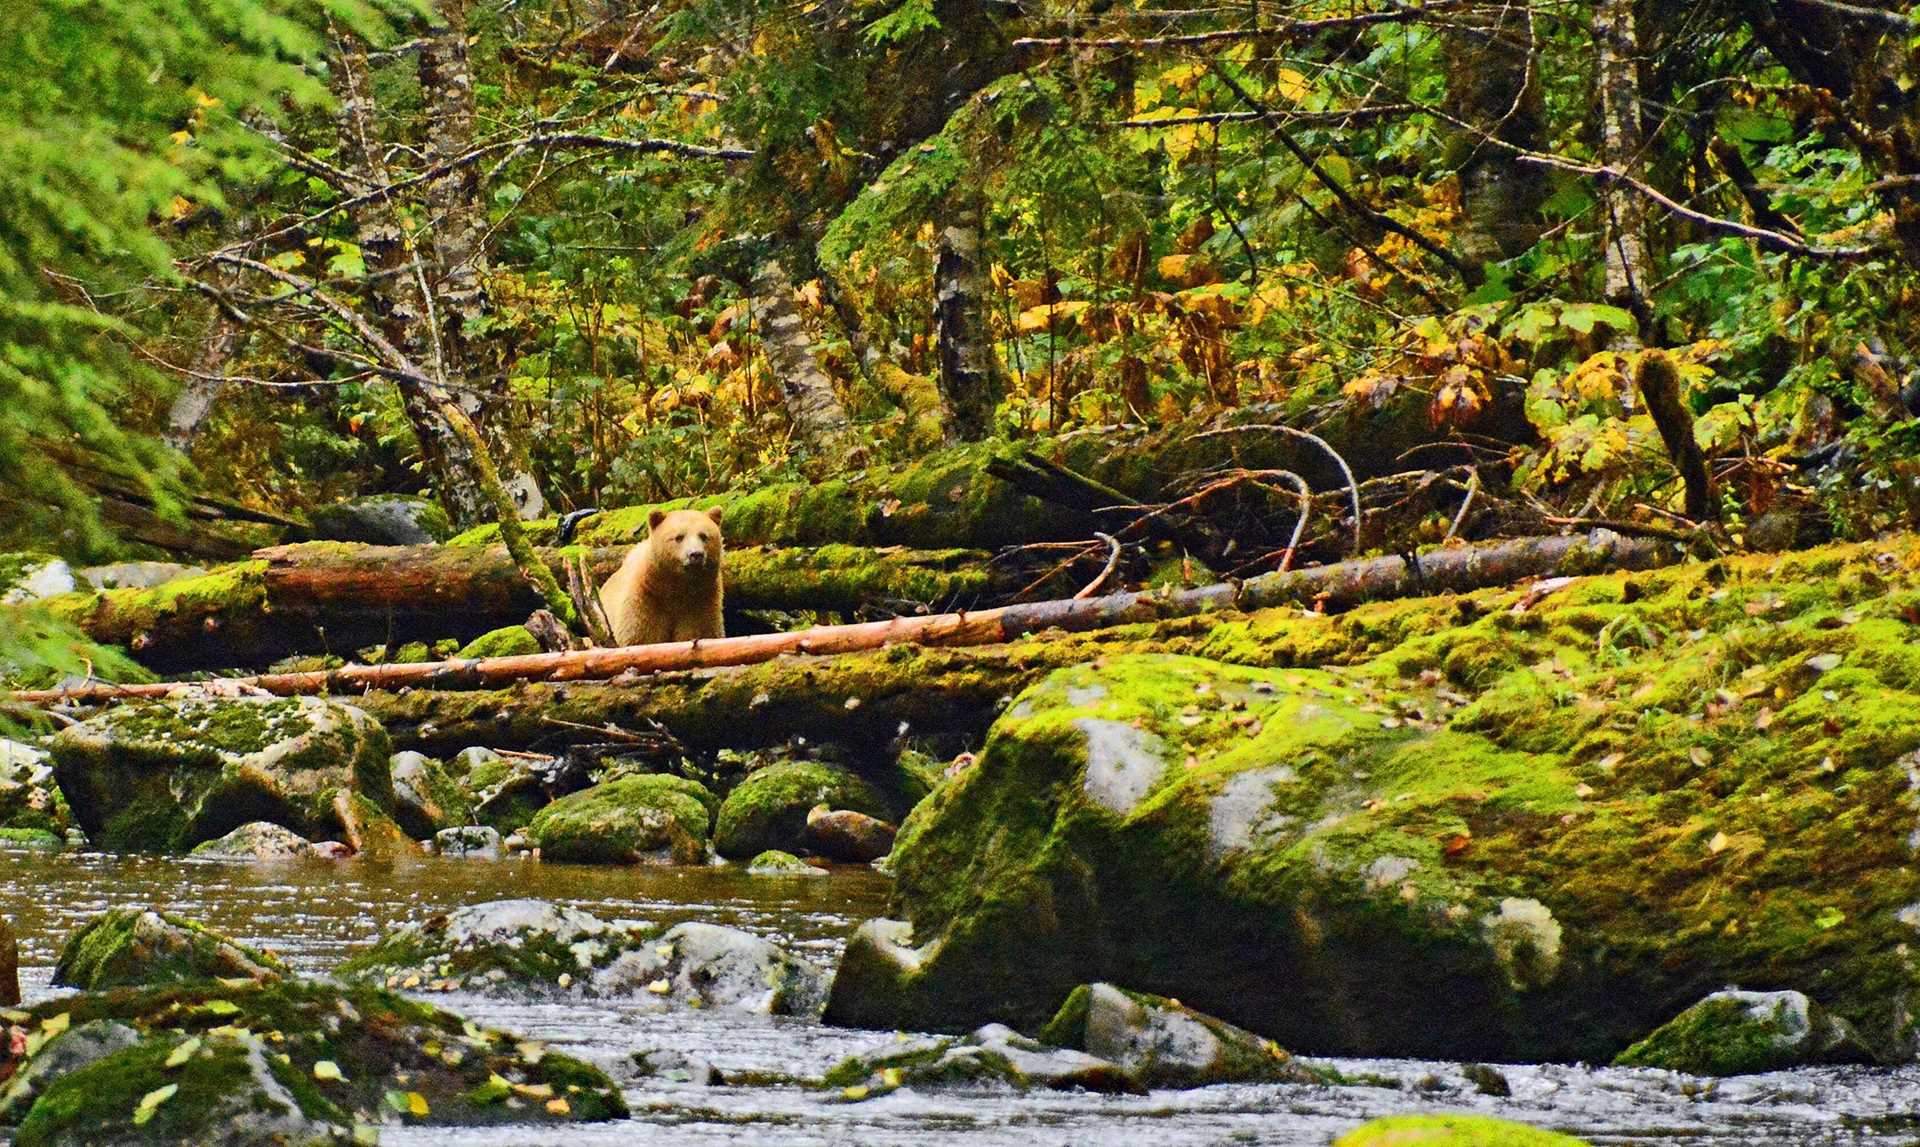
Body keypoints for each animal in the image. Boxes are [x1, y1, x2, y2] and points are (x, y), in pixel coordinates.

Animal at [595, 507, 721, 645]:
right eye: (679, 537)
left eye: (703, 536)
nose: (696, 554)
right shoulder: (646, 599)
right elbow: (641, 636)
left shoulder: (701, 601)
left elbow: (699, 631)